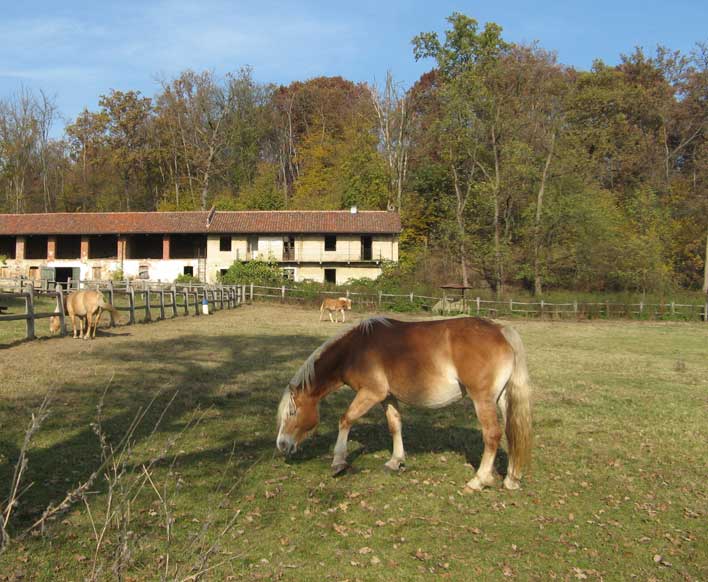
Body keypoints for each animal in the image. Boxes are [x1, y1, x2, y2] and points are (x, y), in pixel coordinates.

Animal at [276, 320, 532, 492]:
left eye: (293, 412)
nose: (281, 444)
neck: (355, 349)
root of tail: (501, 330)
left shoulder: (371, 393)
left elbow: (346, 419)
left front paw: (338, 462)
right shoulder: (387, 397)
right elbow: (395, 425)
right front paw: (395, 461)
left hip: (482, 400)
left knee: (492, 434)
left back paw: (478, 480)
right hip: (501, 399)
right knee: (511, 432)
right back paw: (511, 479)